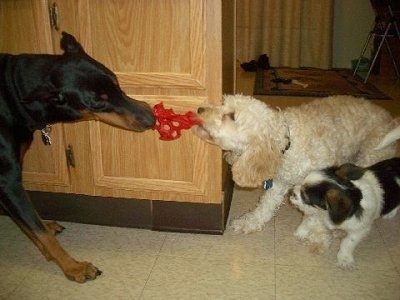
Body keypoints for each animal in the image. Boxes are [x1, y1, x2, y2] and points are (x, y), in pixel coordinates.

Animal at [195, 95, 398, 233]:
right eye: (222, 103)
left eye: (231, 116)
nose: (198, 110)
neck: (287, 145)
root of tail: (391, 118)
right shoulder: (278, 183)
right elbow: (265, 207)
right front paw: (249, 222)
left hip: (370, 157)